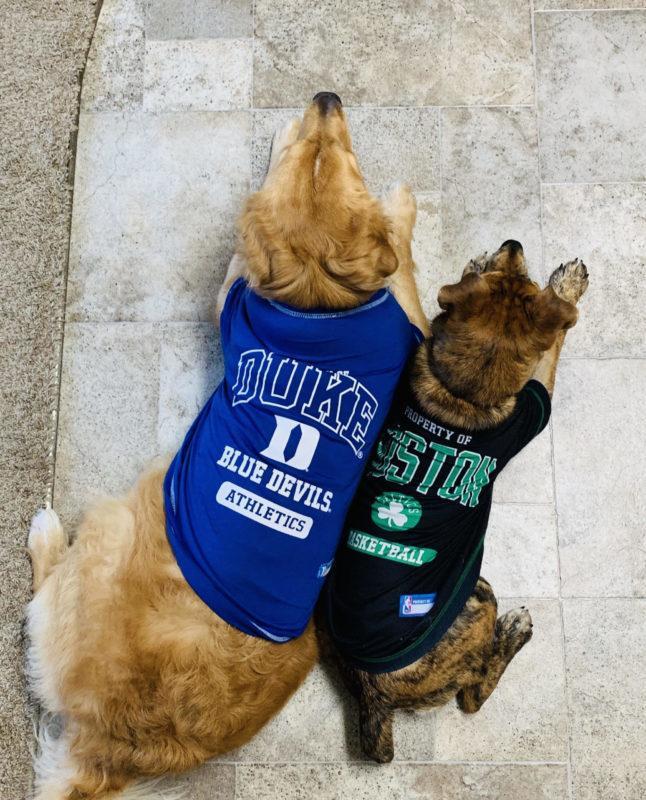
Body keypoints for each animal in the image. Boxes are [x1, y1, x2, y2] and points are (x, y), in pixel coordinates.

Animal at [26, 95, 430, 800]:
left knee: (42, 582)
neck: (318, 293)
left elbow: (400, 258)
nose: (325, 98)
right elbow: (400, 262)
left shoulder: (249, 290)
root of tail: (112, 746)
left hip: (115, 522)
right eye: (325, 155)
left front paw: (398, 206)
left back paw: (46, 530)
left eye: (343, 155)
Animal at [322, 242, 588, 764]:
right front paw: (568, 285)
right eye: (528, 281)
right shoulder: (534, 403)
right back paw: (514, 631)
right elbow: (554, 342)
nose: (513, 244)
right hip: (477, 597)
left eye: (514, 274)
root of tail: (371, 693)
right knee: (473, 695)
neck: (461, 387)